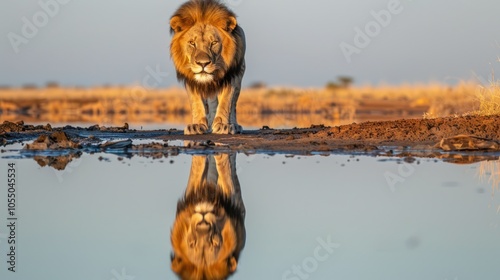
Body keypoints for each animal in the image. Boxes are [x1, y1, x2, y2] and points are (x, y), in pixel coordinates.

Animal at [169, 0, 245, 135]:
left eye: (214, 43)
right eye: (192, 43)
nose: (203, 63)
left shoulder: (232, 74)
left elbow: (226, 101)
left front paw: (223, 125)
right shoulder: (190, 77)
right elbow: (196, 102)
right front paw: (197, 125)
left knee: (233, 104)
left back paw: (234, 125)